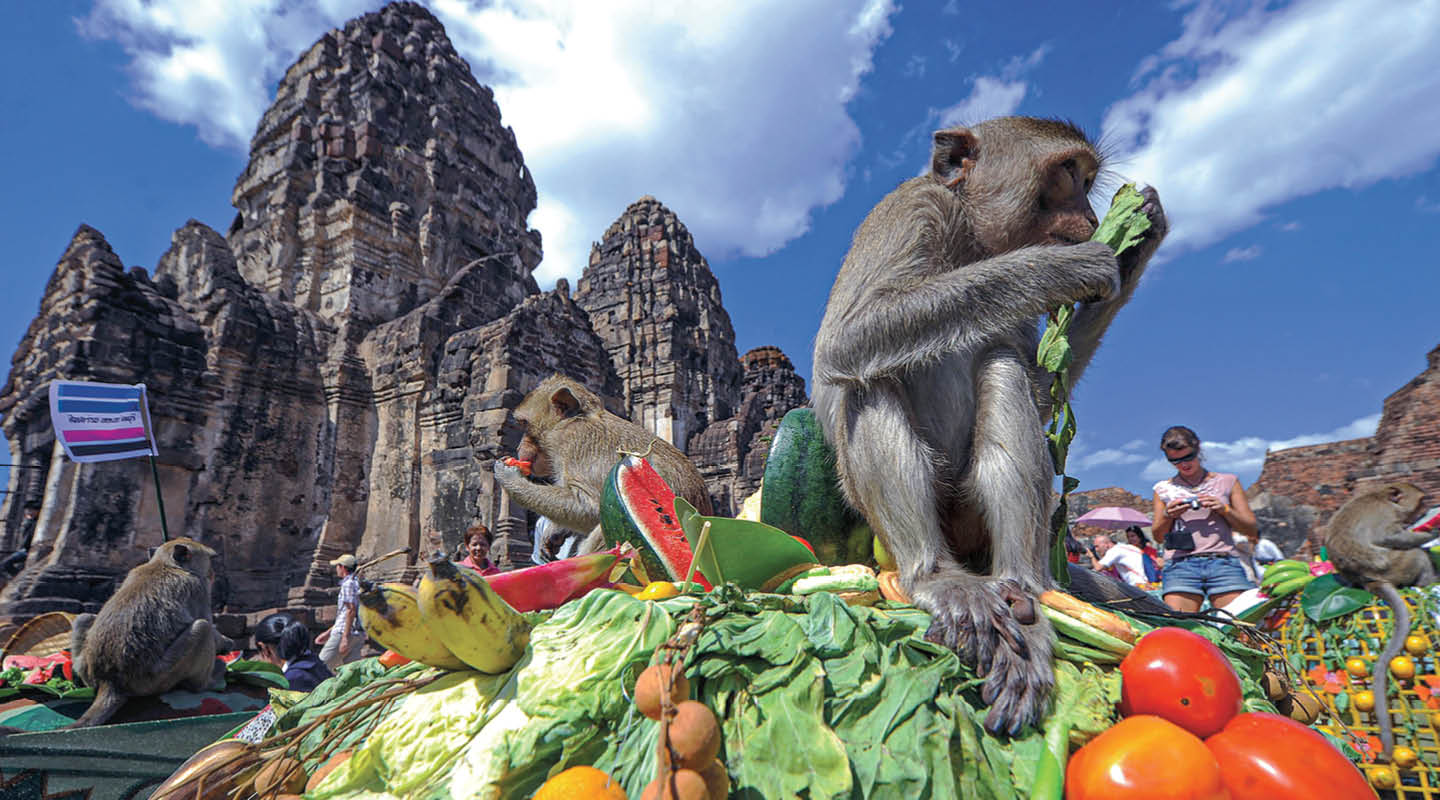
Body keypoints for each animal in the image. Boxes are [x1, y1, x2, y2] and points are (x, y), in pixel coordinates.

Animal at [66, 538, 237, 728]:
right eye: (211, 560)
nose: (212, 573)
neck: (165, 564)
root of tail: (110, 681)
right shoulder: (198, 588)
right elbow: (208, 626)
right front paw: (226, 643)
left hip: (88, 669)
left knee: (84, 617)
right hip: (157, 678)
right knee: (202, 628)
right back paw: (207, 682)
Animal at [493, 375, 714, 553]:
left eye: (524, 424)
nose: (519, 446)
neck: (574, 420)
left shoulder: (575, 444)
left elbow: (590, 506)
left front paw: (509, 477)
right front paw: (554, 532)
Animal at [811, 116, 1166, 734]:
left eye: (1088, 181)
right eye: (1067, 174)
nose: (1091, 220)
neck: (971, 237)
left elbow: (1038, 385)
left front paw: (1137, 241)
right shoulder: (910, 211)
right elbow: (847, 341)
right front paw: (1061, 267)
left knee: (999, 361)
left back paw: (1023, 589)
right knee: (869, 379)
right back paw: (935, 577)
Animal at [1324, 481, 1430, 759]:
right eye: (1422, 501)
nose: (1426, 510)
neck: (1383, 497)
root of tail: (1369, 581)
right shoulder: (1387, 518)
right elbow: (1389, 538)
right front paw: (1431, 531)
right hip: (1397, 566)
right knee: (1416, 555)